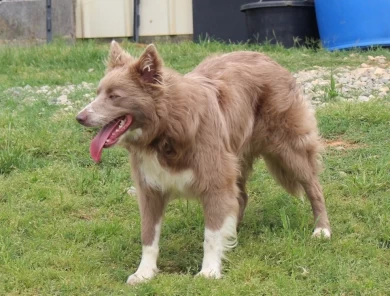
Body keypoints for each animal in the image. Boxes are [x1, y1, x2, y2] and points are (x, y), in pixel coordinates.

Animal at [77, 41, 332, 284]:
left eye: (114, 96)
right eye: (98, 93)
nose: (79, 117)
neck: (165, 129)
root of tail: (267, 57)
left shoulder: (215, 182)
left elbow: (210, 235)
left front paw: (209, 271)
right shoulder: (150, 189)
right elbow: (148, 236)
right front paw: (144, 274)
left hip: (289, 149)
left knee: (314, 187)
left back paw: (322, 229)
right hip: (235, 158)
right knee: (241, 197)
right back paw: (233, 234)